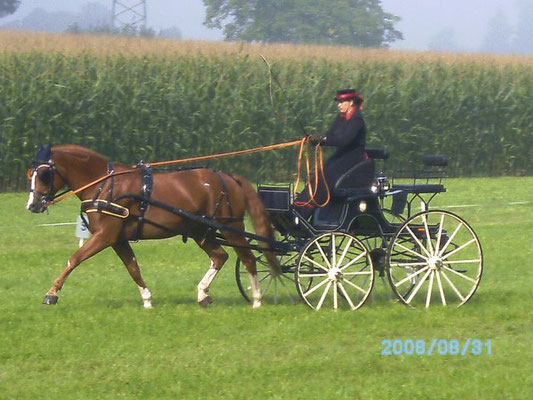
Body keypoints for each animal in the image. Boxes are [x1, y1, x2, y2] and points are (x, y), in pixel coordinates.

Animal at [26, 144, 280, 306]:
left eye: (44, 174)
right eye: (31, 173)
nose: (33, 205)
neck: (105, 186)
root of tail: (228, 177)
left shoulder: (104, 236)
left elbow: (74, 259)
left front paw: (51, 294)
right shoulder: (117, 239)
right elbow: (133, 267)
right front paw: (147, 299)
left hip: (230, 226)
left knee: (248, 259)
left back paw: (257, 299)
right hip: (200, 231)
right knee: (220, 256)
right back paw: (203, 295)